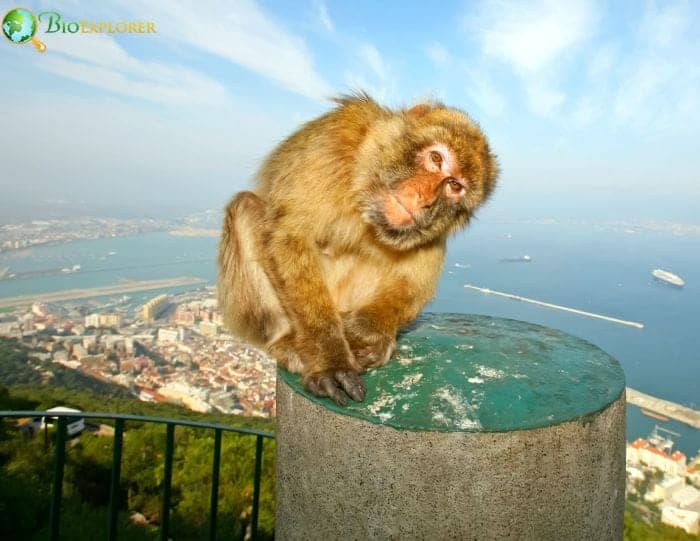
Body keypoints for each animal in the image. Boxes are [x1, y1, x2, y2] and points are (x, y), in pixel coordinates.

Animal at [219, 93, 498, 404]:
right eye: (436, 158)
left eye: (454, 185)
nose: (423, 197)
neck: (366, 191)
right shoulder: (332, 140)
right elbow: (288, 236)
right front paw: (331, 360)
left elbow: (415, 282)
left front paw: (365, 333)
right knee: (245, 207)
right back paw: (287, 345)